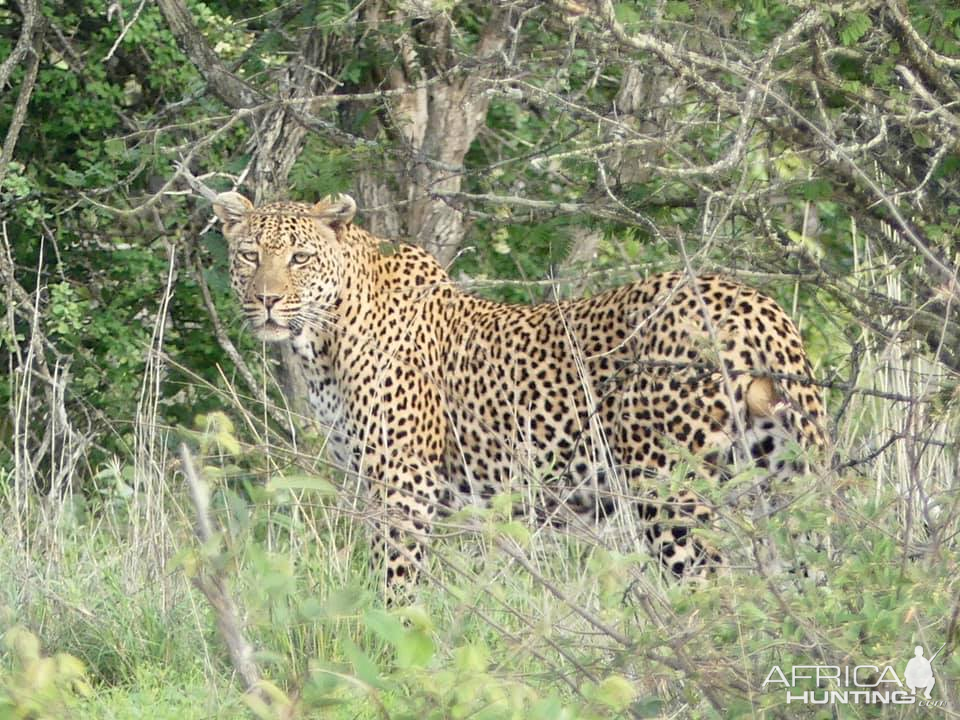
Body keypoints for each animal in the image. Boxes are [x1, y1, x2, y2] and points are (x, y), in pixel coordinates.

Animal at [212, 190, 824, 596]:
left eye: (299, 258)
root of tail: (757, 305)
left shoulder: (404, 484)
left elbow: (396, 580)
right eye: (249, 255)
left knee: (717, 586)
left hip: (668, 492)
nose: (266, 300)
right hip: (782, 480)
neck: (324, 339)